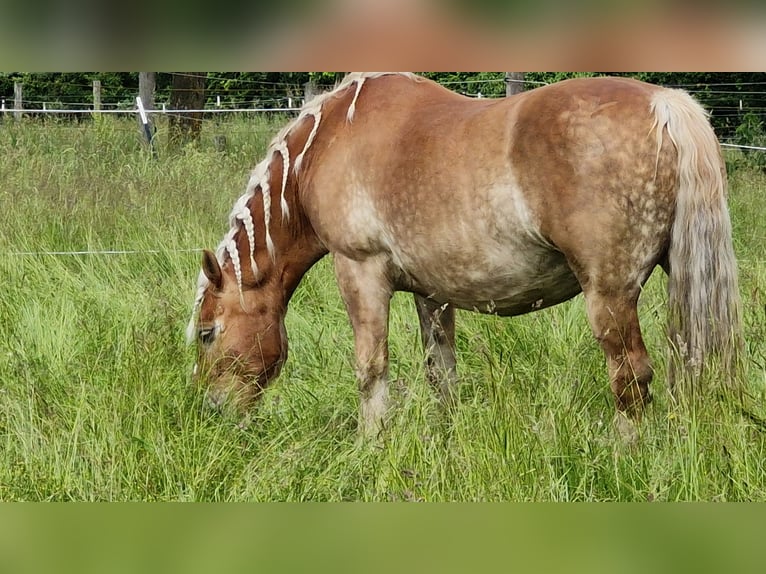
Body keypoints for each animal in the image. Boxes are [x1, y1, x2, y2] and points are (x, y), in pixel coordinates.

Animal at [188, 73, 744, 436]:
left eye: (208, 333)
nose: (211, 409)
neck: (323, 146)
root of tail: (665, 105)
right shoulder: (432, 293)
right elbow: (441, 371)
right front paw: (445, 437)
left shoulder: (360, 271)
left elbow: (371, 368)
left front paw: (370, 444)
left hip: (609, 294)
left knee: (631, 377)